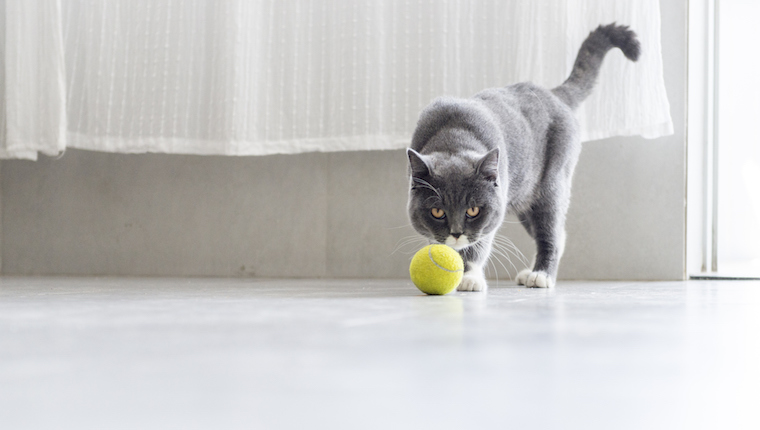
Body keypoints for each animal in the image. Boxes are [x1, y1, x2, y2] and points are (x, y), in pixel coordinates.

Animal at [406, 24, 640, 292]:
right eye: (437, 212)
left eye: (473, 210)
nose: (456, 233)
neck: (454, 137)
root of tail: (553, 94)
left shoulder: (490, 216)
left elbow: (479, 243)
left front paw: (469, 277)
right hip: (523, 199)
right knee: (559, 232)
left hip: (551, 185)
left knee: (551, 231)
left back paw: (540, 275)